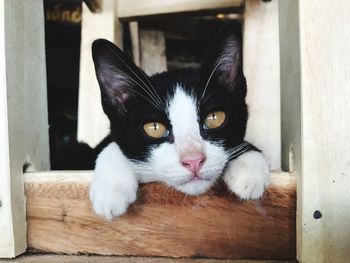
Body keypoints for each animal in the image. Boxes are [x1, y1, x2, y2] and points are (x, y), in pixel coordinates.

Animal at [89, 22, 270, 221]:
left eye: (215, 118)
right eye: (154, 128)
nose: (193, 161)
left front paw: (248, 166)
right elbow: (112, 144)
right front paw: (111, 189)